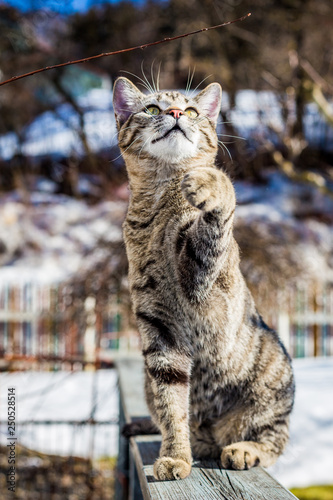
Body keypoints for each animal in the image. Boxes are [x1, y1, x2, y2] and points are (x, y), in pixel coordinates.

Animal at [112, 77, 294, 480]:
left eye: (192, 111)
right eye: (152, 108)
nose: (177, 113)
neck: (162, 199)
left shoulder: (205, 281)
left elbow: (217, 209)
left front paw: (209, 183)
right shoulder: (159, 330)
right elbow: (171, 406)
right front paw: (176, 456)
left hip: (272, 384)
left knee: (272, 441)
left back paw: (242, 450)